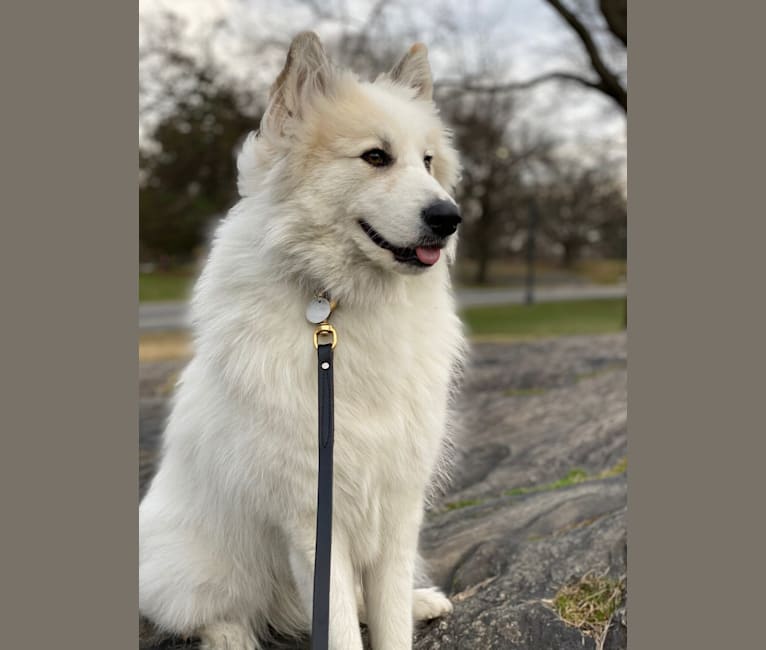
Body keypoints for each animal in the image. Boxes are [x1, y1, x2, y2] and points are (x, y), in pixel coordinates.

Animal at [141, 31, 472, 648]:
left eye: (428, 162)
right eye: (375, 157)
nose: (450, 217)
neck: (341, 309)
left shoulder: (397, 507)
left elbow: (386, 616)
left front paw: (404, 612)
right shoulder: (312, 519)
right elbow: (339, 627)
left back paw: (422, 601)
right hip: (205, 569)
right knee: (212, 614)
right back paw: (234, 637)